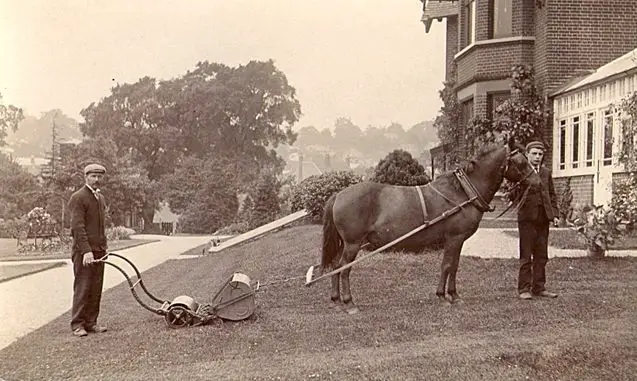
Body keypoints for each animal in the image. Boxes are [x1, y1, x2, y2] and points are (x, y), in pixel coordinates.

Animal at [320, 136, 540, 312]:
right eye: (520, 161)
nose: (538, 182)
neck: (462, 191)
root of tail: (339, 194)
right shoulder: (454, 238)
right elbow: (447, 265)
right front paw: (443, 296)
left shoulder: (458, 240)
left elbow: (454, 266)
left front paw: (454, 295)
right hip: (353, 243)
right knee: (344, 267)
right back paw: (349, 302)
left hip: (346, 244)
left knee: (336, 266)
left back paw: (336, 299)